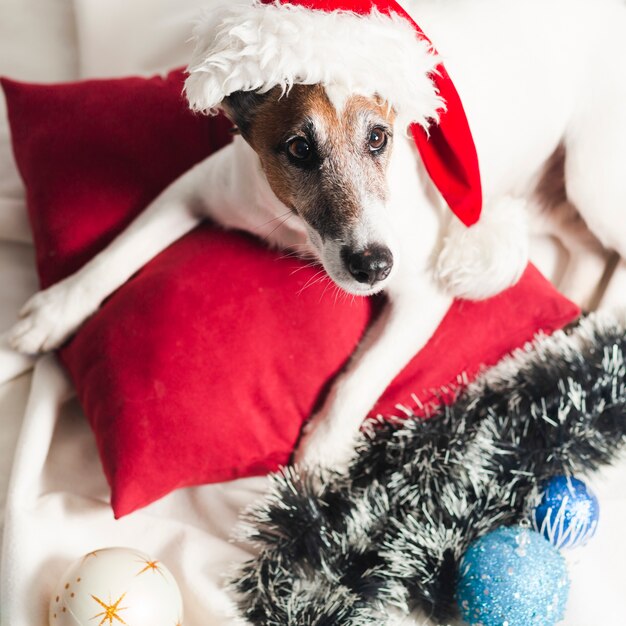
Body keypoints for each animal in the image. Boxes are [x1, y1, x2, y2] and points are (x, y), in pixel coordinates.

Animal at [6, 0, 624, 468]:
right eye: (300, 148)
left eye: (379, 138)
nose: (374, 266)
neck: (299, 230)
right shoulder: (200, 186)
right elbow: (118, 253)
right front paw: (54, 310)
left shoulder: (424, 294)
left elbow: (363, 377)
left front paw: (319, 455)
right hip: (553, 196)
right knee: (588, 250)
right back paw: (572, 322)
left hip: (591, 176)